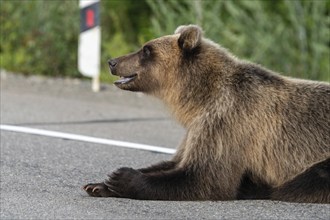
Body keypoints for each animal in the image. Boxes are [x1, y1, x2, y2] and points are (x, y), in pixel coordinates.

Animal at [83, 24, 330, 204]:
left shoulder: (227, 120)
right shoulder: (196, 127)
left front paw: (122, 177)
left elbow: (204, 178)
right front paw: (100, 184)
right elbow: (175, 162)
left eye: (146, 49)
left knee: (305, 180)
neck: (199, 97)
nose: (112, 62)